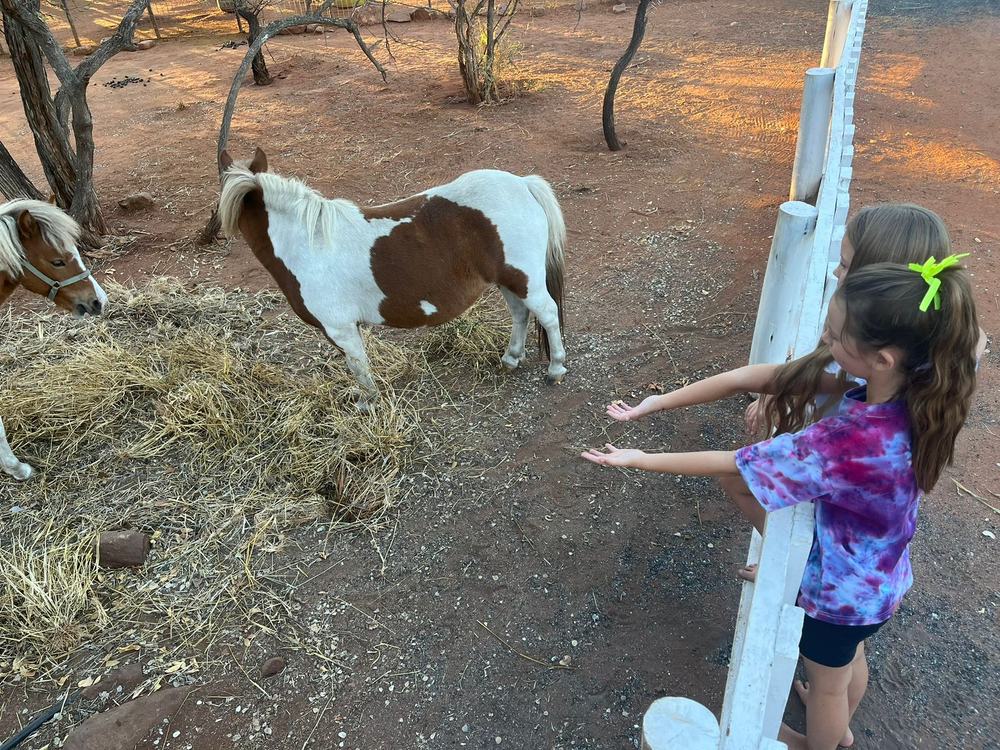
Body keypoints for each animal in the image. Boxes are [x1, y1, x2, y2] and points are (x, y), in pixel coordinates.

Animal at [217, 148, 567, 404]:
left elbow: (359, 367)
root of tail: (523, 184)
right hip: (509, 280)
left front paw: (367, 403)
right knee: (521, 314)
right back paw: (511, 358)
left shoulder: (340, 328)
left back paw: (555, 369)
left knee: (548, 314)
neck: (308, 241)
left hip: (525, 280)